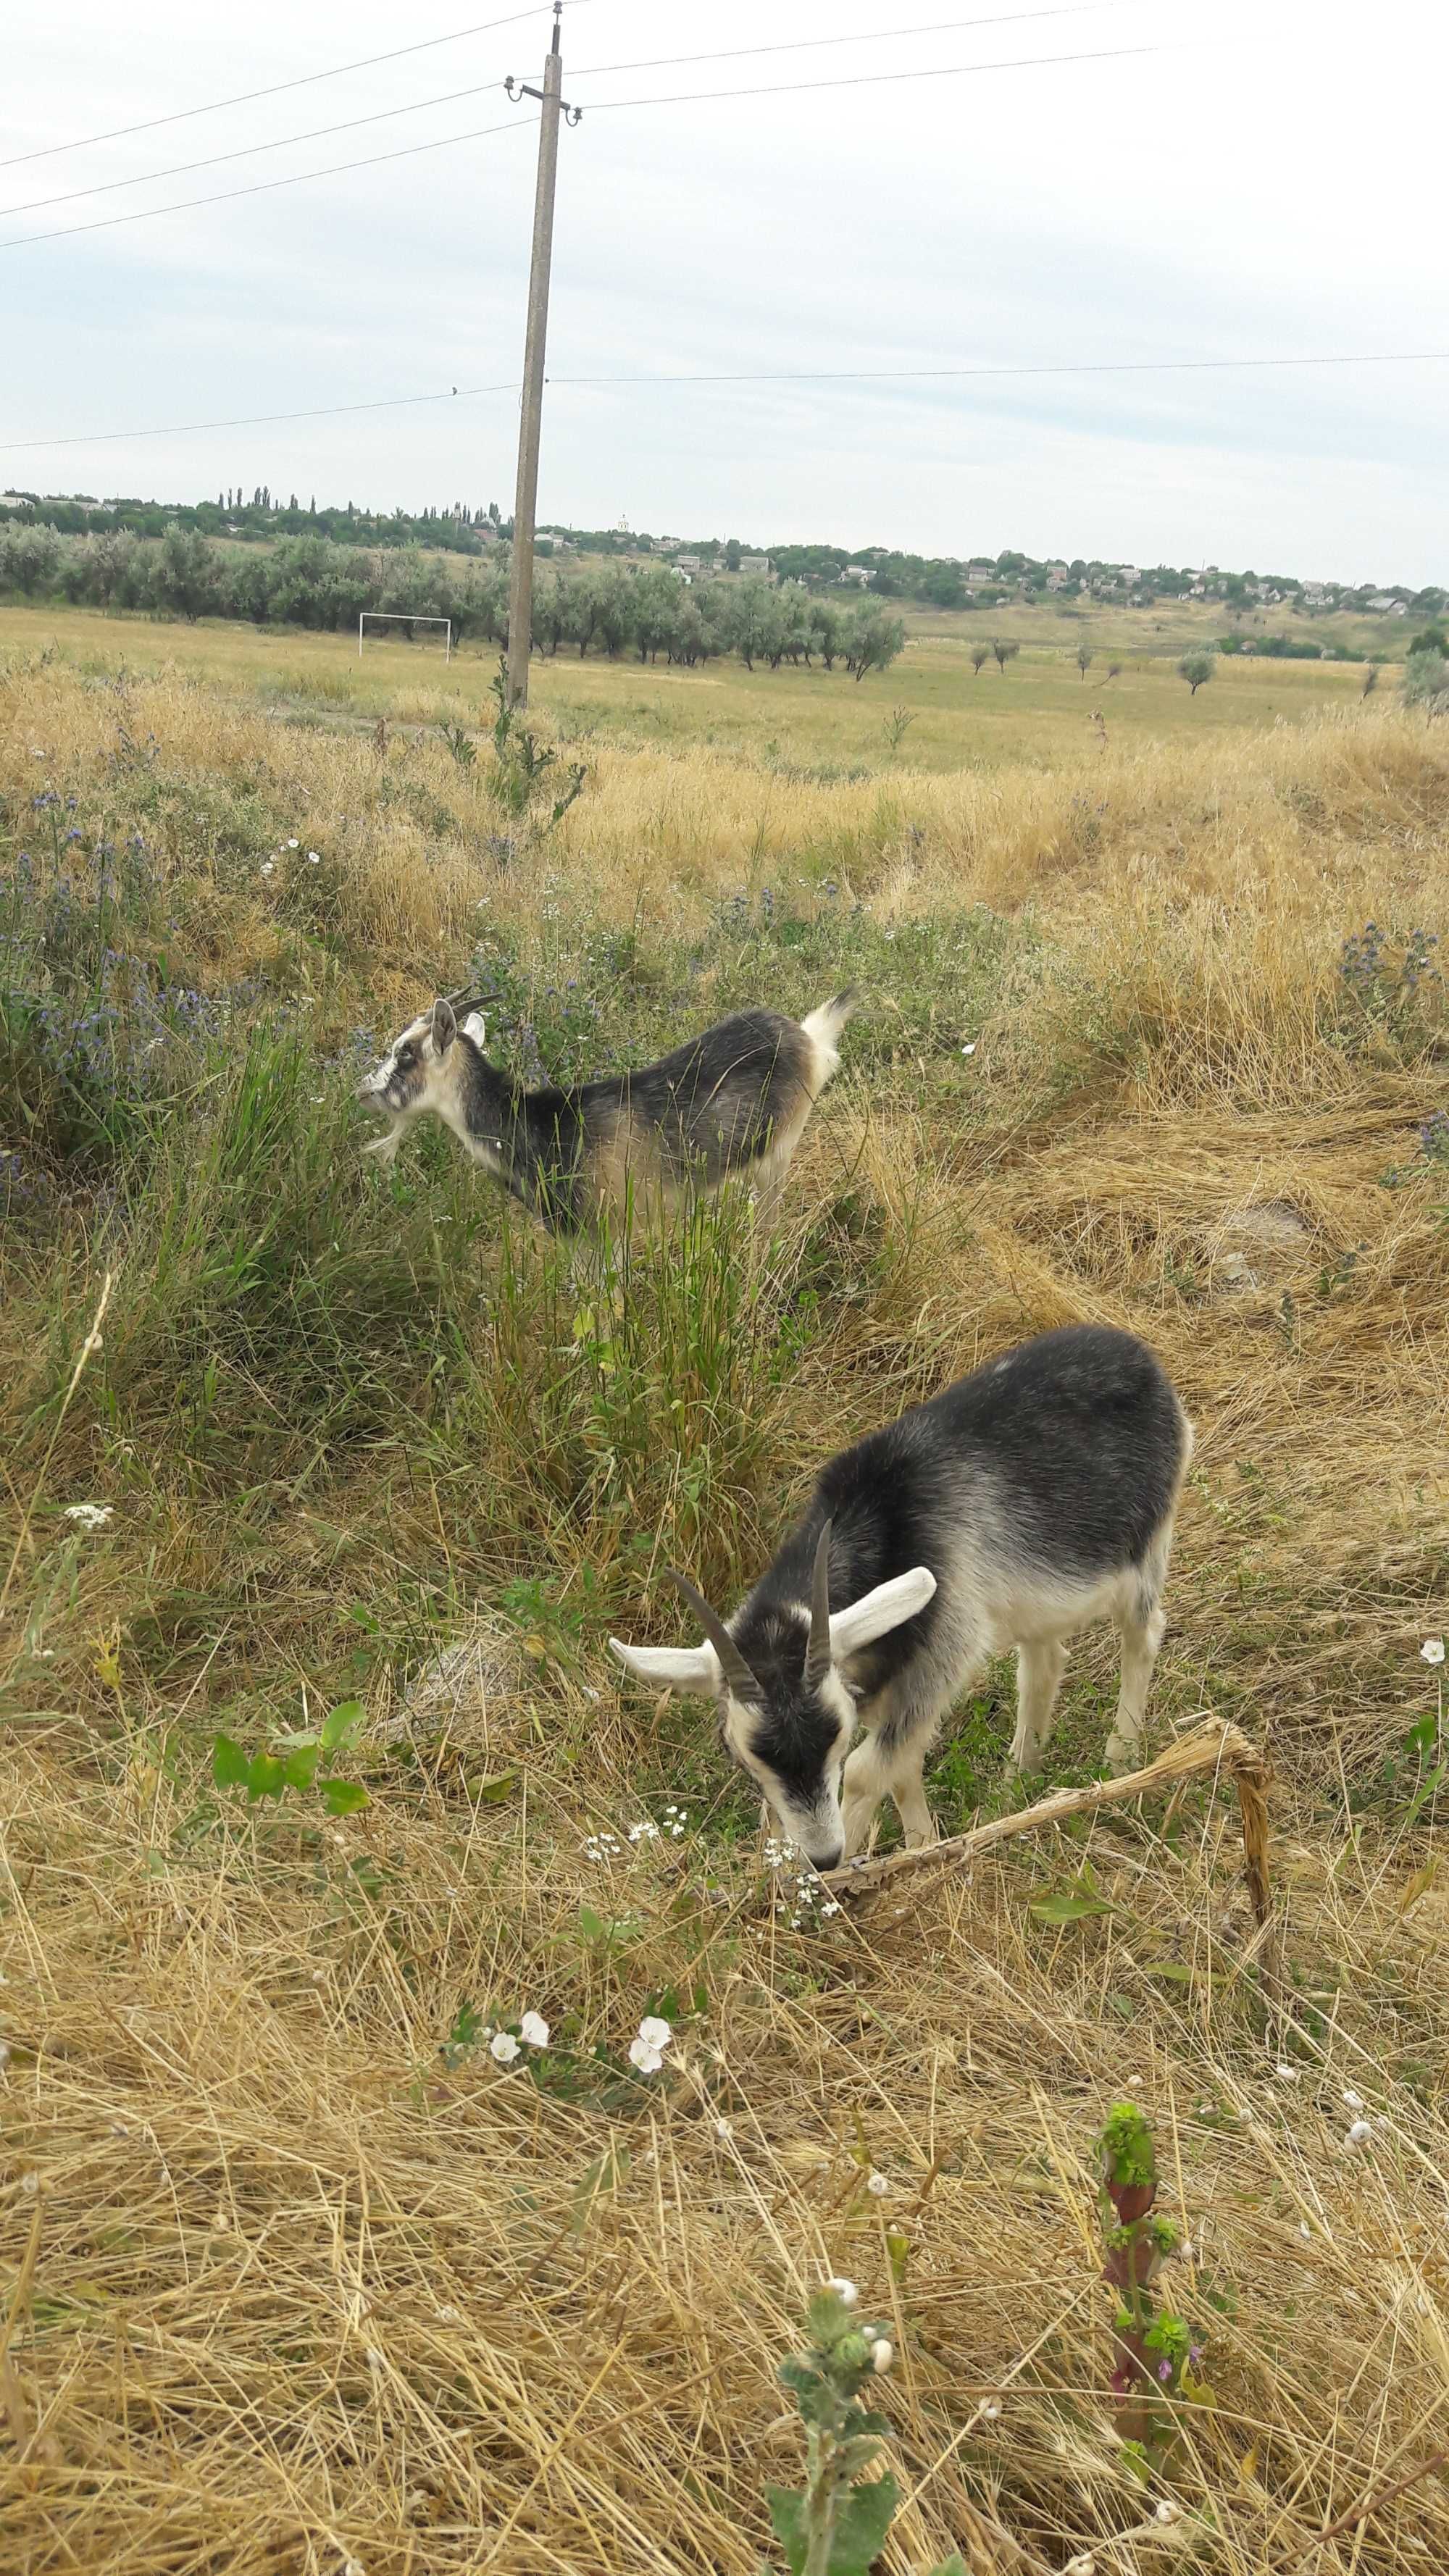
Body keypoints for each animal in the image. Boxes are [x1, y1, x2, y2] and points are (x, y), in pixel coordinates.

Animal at [358, 979, 856, 1231]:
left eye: (406, 1052)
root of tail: (808, 1038)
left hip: (776, 1152)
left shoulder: (603, 1228)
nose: (364, 1092)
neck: (545, 1128)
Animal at [606, 1329, 1186, 1875]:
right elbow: (904, 1768)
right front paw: (922, 1846)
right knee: (1044, 1662)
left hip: (1146, 1553)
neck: (881, 1520)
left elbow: (870, 1770)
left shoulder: (944, 1651)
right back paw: (1016, 1782)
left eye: (836, 1734)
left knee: (1144, 1635)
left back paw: (1120, 1761)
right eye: (744, 1754)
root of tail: (1140, 1357)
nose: (823, 1857)